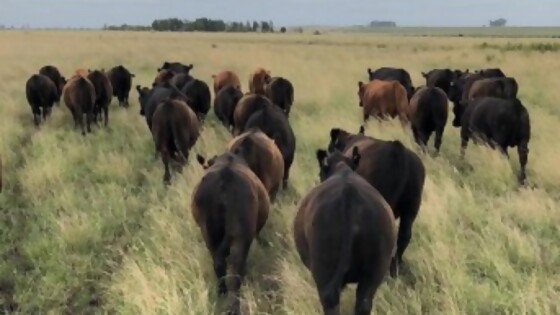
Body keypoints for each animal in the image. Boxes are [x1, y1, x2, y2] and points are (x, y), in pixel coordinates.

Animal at [194, 152, 270, 314]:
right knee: (236, 270)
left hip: (209, 234)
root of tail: (225, 176)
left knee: (219, 264)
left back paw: (221, 292)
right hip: (241, 237)